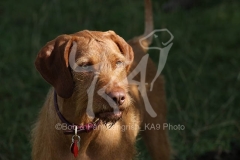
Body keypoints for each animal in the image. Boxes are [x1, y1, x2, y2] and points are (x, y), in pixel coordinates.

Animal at [32, 0, 171, 159]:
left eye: (118, 62)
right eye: (85, 65)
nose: (118, 98)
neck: (81, 127)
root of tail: (137, 43)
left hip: (157, 135)